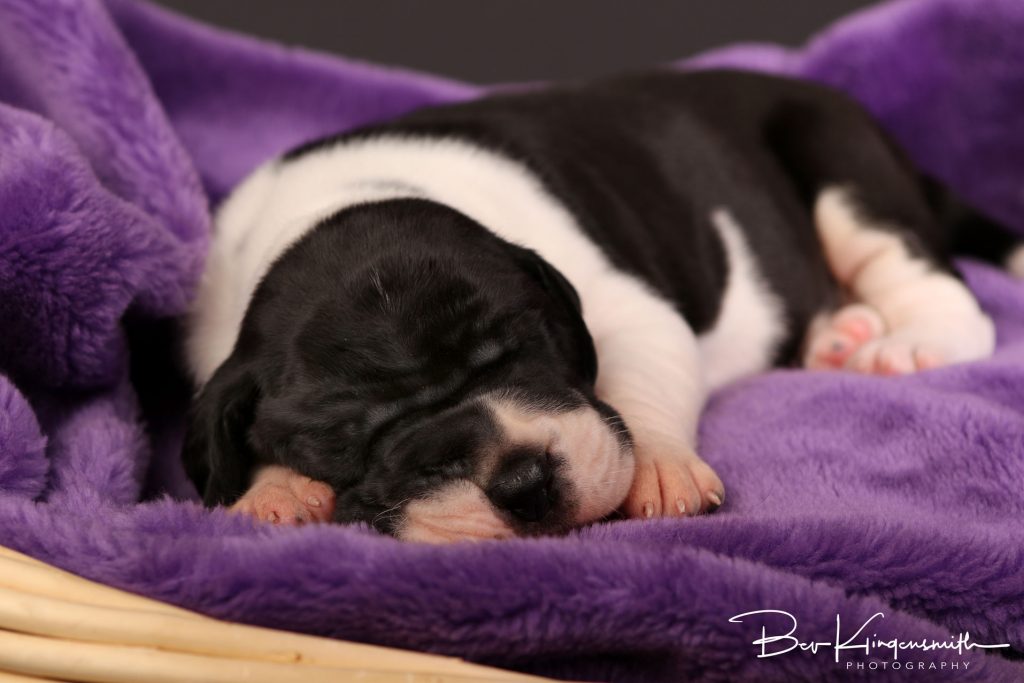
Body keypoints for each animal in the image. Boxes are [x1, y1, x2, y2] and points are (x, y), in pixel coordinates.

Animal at [182, 68, 1015, 540]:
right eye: (340, 435)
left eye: (524, 345)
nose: (521, 480)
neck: (338, 201)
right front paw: (276, 489)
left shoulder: (630, 311)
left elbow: (642, 378)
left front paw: (658, 465)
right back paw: (839, 333)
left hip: (839, 159)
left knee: (936, 286)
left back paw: (904, 342)